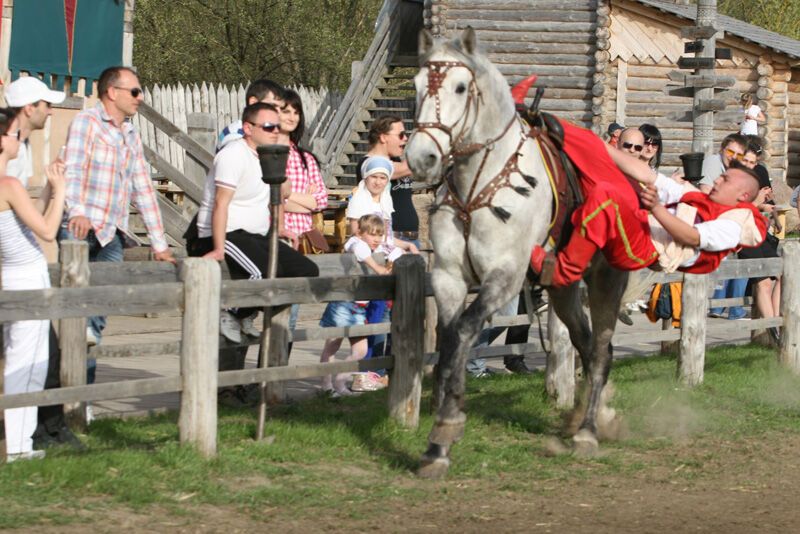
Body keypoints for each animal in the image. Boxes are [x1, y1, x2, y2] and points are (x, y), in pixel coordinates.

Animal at [406, 27, 632, 480]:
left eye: (460, 87)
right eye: (417, 86)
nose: (421, 158)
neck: (477, 186)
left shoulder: (505, 277)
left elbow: (464, 331)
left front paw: (448, 422)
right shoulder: (448, 277)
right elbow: (450, 341)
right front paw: (438, 444)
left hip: (606, 280)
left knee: (600, 351)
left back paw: (588, 432)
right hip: (563, 289)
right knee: (584, 345)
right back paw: (585, 416)